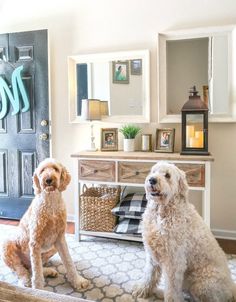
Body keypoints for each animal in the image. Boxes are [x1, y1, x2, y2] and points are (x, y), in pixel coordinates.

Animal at [1, 158, 89, 290]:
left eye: (56, 169)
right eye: (42, 170)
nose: (48, 180)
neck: (51, 201)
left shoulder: (60, 239)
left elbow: (68, 261)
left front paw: (78, 281)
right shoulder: (35, 243)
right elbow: (37, 274)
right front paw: (38, 290)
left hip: (52, 248)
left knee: (31, 268)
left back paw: (48, 271)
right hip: (7, 246)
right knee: (21, 269)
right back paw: (25, 280)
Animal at [133, 163, 236, 302]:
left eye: (167, 175)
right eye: (153, 171)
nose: (152, 180)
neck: (161, 212)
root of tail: (232, 289)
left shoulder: (174, 261)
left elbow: (172, 288)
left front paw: (170, 299)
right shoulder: (152, 255)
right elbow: (149, 274)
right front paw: (142, 290)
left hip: (202, 283)